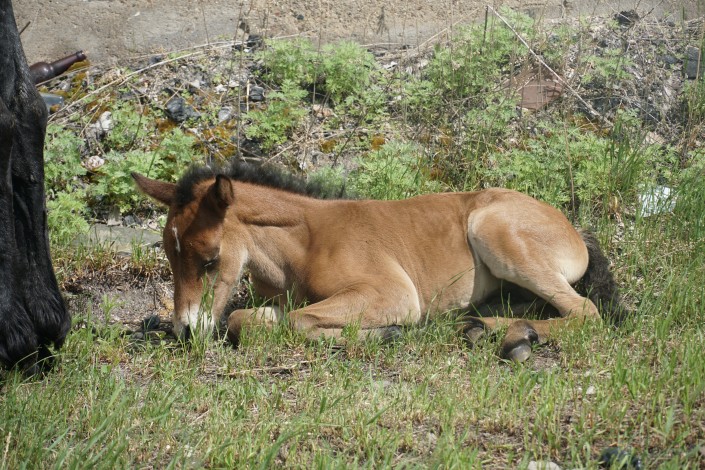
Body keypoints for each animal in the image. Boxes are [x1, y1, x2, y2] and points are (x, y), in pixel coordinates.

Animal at [133, 161, 626, 362]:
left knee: (585, 312)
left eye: (211, 259)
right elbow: (244, 320)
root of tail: (574, 231)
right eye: (169, 256)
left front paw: (384, 335)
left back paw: (508, 337)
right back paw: (487, 328)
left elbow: (297, 321)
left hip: (494, 231)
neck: (303, 244)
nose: (184, 331)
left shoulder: (392, 293)